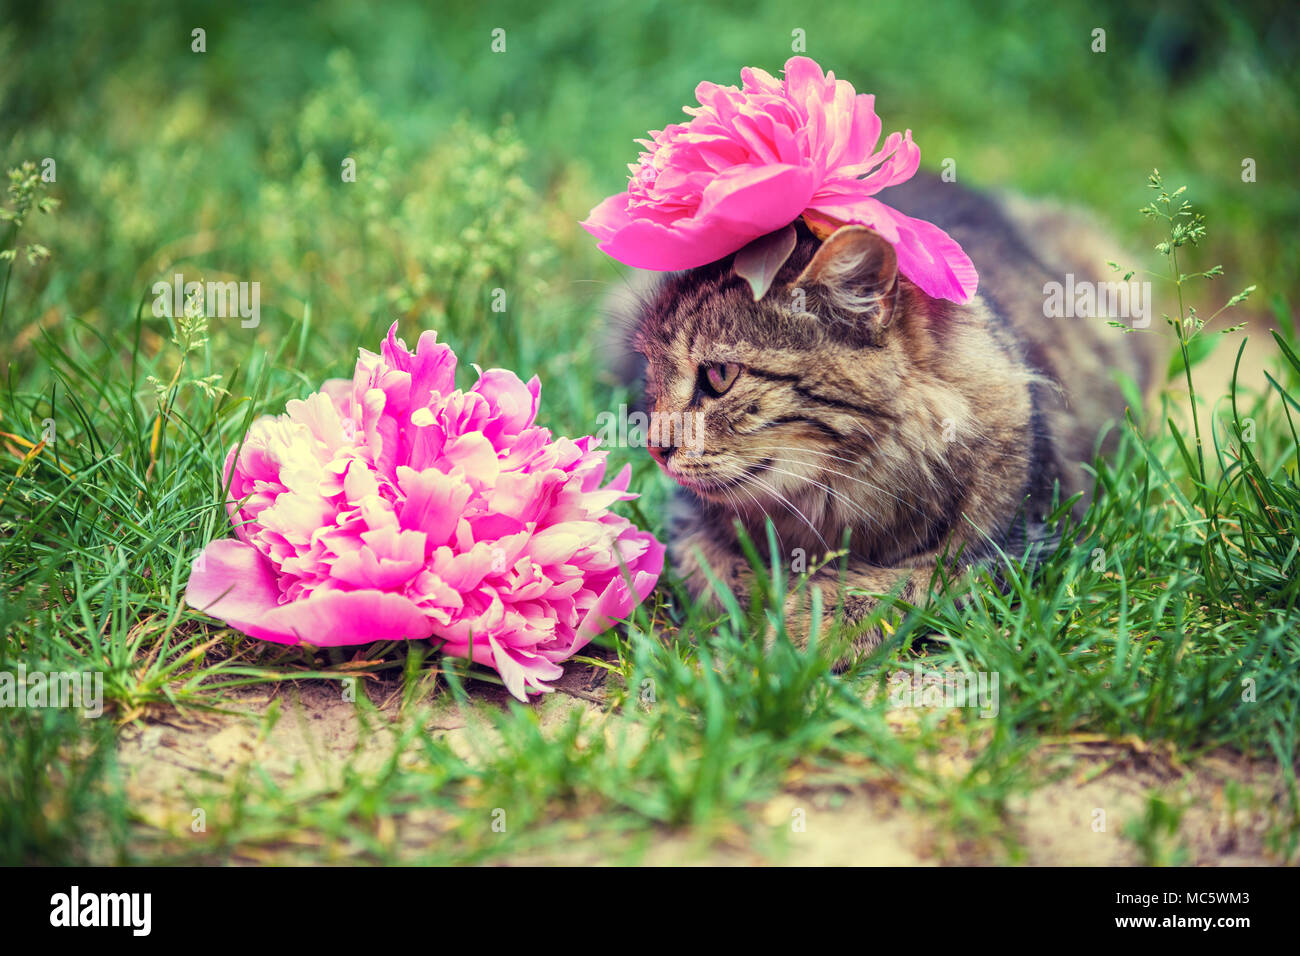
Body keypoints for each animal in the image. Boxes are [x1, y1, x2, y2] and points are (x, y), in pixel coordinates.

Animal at [605, 167, 1159, 655]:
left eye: (720, 376)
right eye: (652, 369)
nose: (655, 448)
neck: (831, 501)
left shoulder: (1024, 541)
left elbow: (917, 581)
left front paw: (802, 628)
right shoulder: (686, 522)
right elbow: (714, 572)